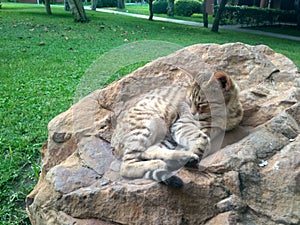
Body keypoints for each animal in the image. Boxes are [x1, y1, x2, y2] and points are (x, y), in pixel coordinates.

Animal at [111, 71, 243, 188]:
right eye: (189, 101)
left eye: (201, 104)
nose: (192, 112)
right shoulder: (181, 124)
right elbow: (203, 140)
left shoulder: (211, 129)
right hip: (148, 125)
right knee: (126, 166)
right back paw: (172, 160)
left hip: (164, 135)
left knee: (150, 150)